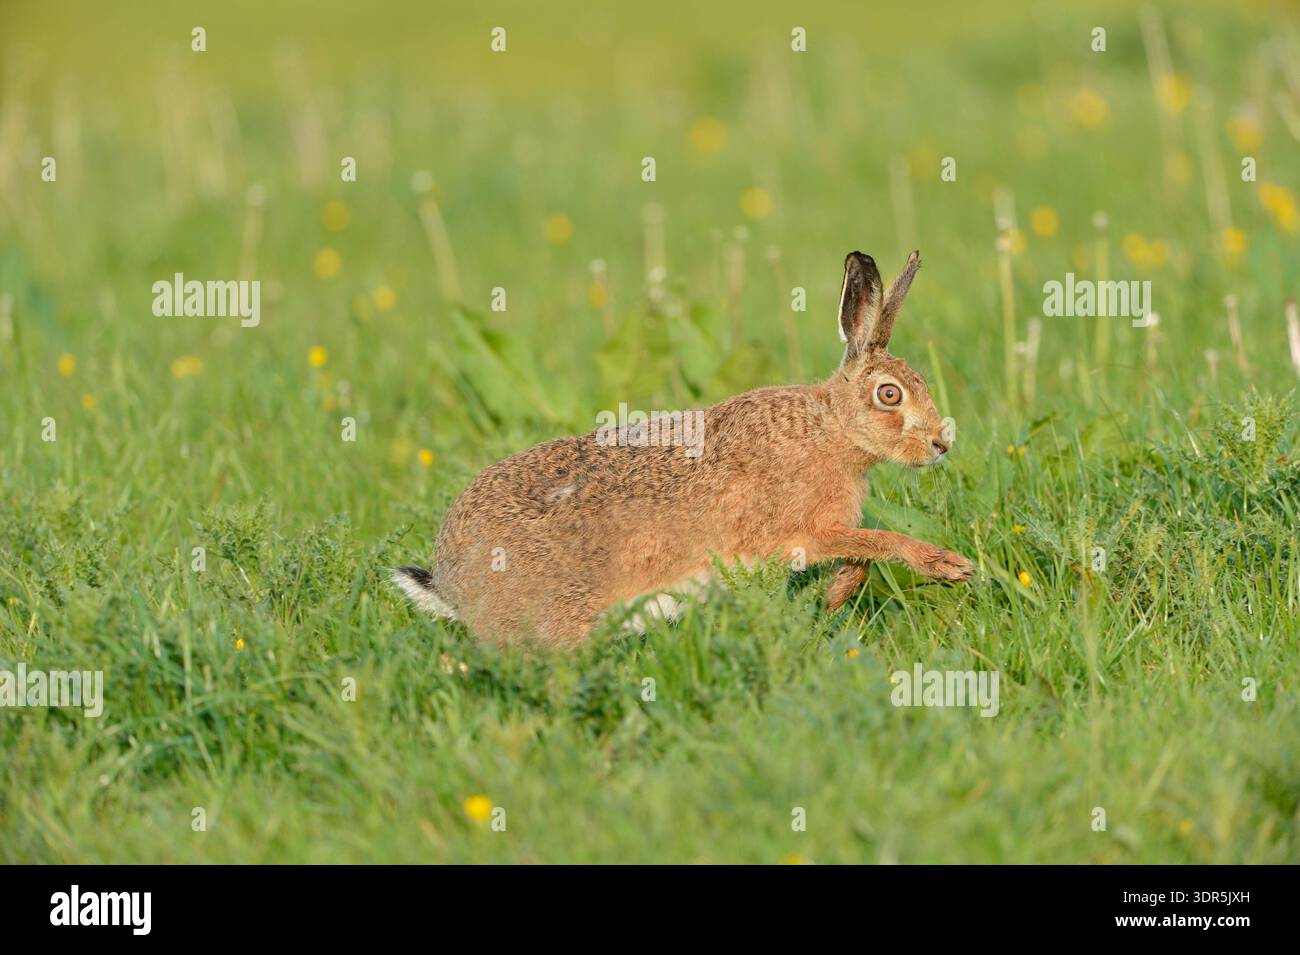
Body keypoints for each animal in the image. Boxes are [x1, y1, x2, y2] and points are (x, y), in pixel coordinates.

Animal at [394, 250, 974, 649]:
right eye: (890, 394)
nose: (941, 444)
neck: (833, 430)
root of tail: (452, 582)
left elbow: (860, 557)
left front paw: (831, 600)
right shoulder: (803, 531)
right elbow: (878, 542)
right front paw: (949, 566)